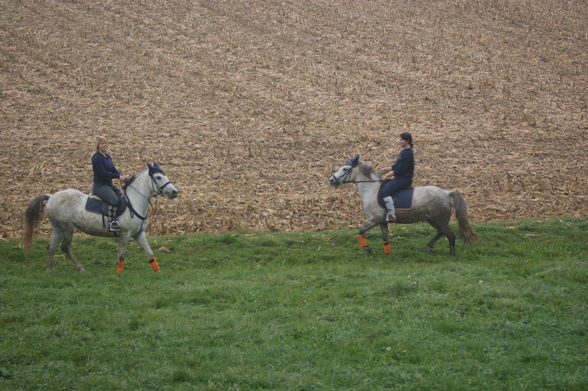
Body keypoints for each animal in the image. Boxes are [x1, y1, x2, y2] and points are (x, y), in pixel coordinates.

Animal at [23, 162, 178, 272]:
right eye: (158, 177)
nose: (174, 192)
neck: (134, 202)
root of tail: (51, 197)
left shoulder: (139, 234)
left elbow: (150, 253)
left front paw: (158, 272)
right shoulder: (124, 234)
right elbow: (121, 255)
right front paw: (119, 273)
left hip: (57, 228)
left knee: (51, 247)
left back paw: (49, 270)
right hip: (66, 228)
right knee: (65, 247)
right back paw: (80, 268)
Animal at [328, 157, 476, 258]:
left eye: (345, 169)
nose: (331, 180)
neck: (371, 189)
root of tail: (446, 192)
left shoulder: (374, 219)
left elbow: (361, 230)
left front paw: (367, 249)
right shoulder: (382, 221)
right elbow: (385, 237)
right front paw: (387, 253)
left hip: (439, 219)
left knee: (450, 236)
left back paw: (451, 255)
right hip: (433, 220)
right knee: (441, 233)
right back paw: (429, 247)